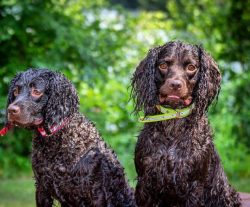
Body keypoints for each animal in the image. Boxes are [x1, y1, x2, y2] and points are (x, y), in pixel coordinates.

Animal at [131, 41, 242, 206]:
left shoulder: (194, 186)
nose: (175, 85)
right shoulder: (145, 183)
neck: (173, 127)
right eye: (163, 65)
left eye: (191, 67)